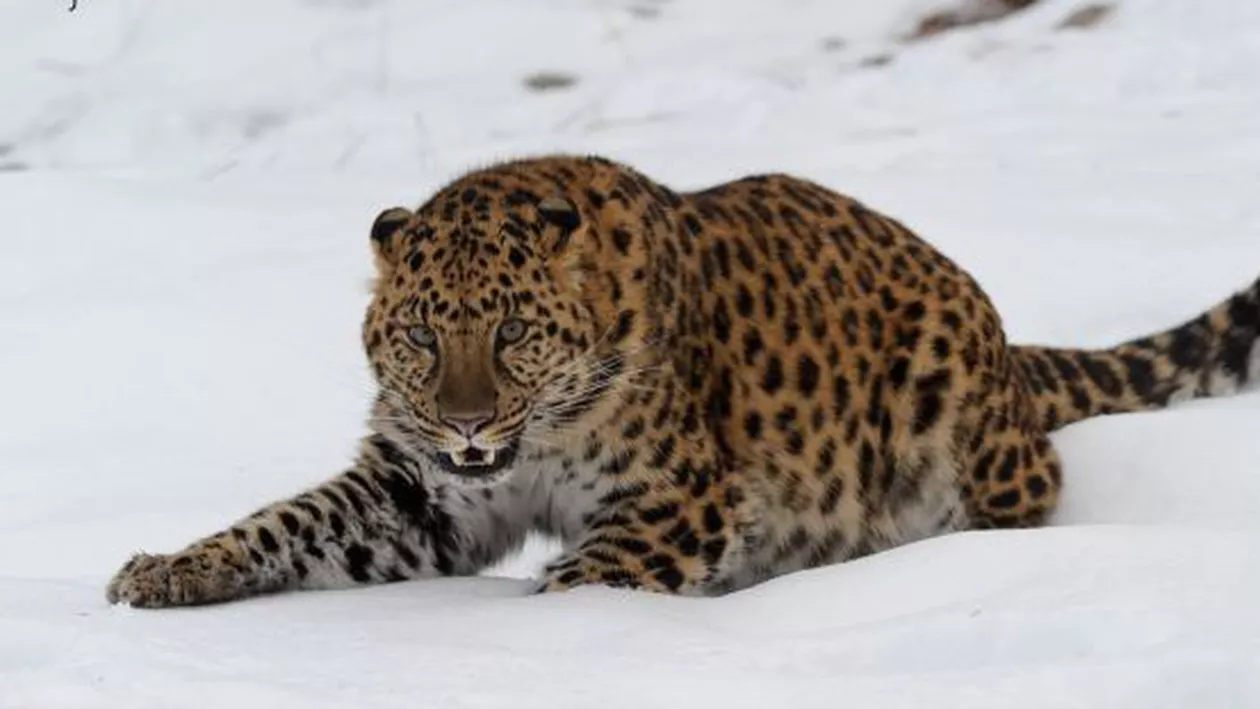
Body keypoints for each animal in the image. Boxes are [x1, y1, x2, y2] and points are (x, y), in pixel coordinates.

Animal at [107, 155, 1260, 606]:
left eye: (513, 330)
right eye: (424, 338)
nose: (469, 426)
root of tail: (1007, 345)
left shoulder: (672, 503)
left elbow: (573, 588)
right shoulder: (417, 493)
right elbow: (288, 521)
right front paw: (166, 570)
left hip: (950, 419)